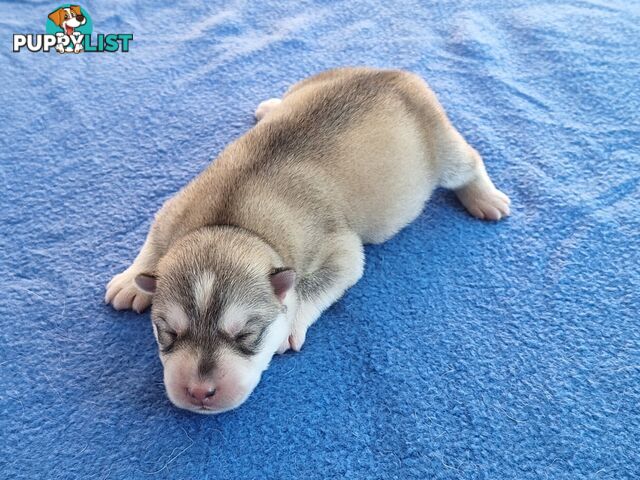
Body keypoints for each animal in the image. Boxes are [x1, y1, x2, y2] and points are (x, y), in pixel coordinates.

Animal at [105, 66, 510, 412]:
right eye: (168, 333)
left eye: (247, 335)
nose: (199, 391)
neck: (229, 225)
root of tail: (399, 74)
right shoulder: (173, 212)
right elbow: (154, 240)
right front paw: (131, 281)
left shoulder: (339, 248)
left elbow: (317, 283)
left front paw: (290, 322)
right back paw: (271, 106)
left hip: (442, 148)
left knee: (470, 161)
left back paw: (486, 199)